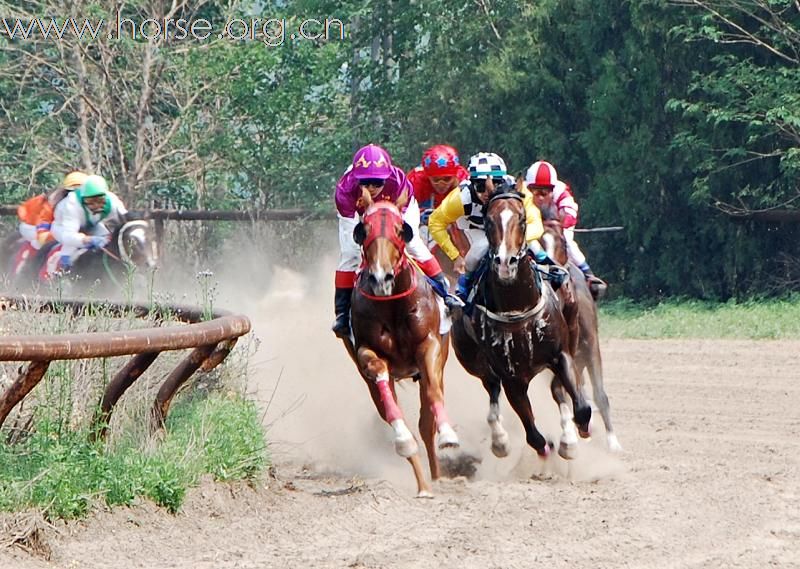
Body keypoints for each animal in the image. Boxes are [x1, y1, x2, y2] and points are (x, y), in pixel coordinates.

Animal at [340, 197, 462, 494]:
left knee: (426, 420)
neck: (392, 304)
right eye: (363, 230)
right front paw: (404, 440)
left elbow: (432, 396)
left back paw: (436, 476)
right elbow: (385, 390)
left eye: (400, 230)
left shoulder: (429, 347)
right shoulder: (367, 353)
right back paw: (423, 484)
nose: (380, 278)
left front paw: (448, 434)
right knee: (398, 416)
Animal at [450, 191, 592, 462]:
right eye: (489, 222)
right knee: (491, 389)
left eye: (523, 219)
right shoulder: (512, 378)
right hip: (473, 361)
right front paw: (544, 447)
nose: (505, 262)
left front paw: (574, 436)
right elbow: (534, 436)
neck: (518, 310)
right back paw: (499, 440)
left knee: (556, 390)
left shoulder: (561, 355)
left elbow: (581, 407)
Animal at [540, 219, 620, 452]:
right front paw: (570, 434)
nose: (552, 272)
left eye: (562, 242)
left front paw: (613, 442)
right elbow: (558, 391)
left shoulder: (590, 347)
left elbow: (599, 394)